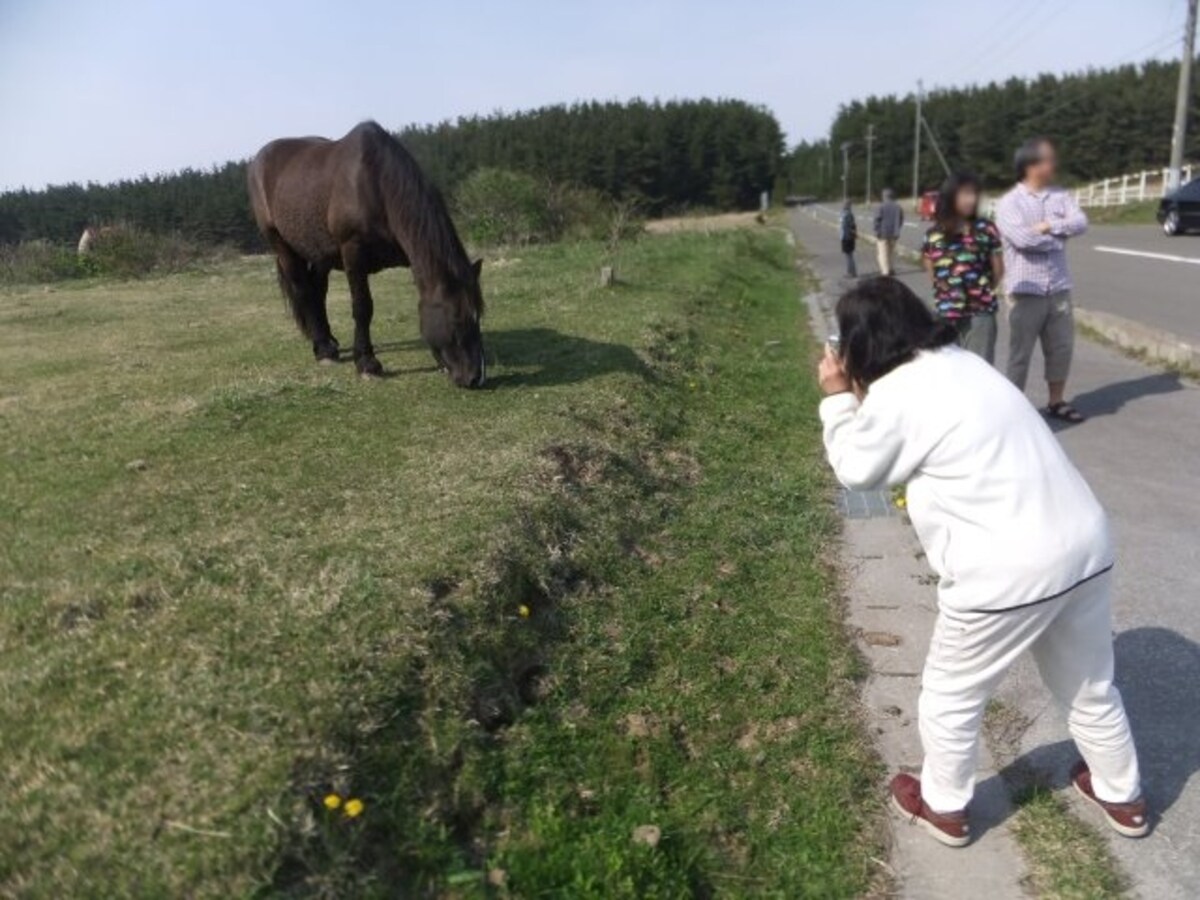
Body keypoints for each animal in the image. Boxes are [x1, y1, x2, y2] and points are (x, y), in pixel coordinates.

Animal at [247, 121, 485, 387]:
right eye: (456, 319)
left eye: (479, 317)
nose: (475, 377)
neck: (375, 185)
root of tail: (260, 160)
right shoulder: (353, 254)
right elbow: (362, 307)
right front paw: (367, 363)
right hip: (281, 244)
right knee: (303, 290)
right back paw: (323, 349)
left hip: (321, 253)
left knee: (318, 292)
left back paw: (329, 343)